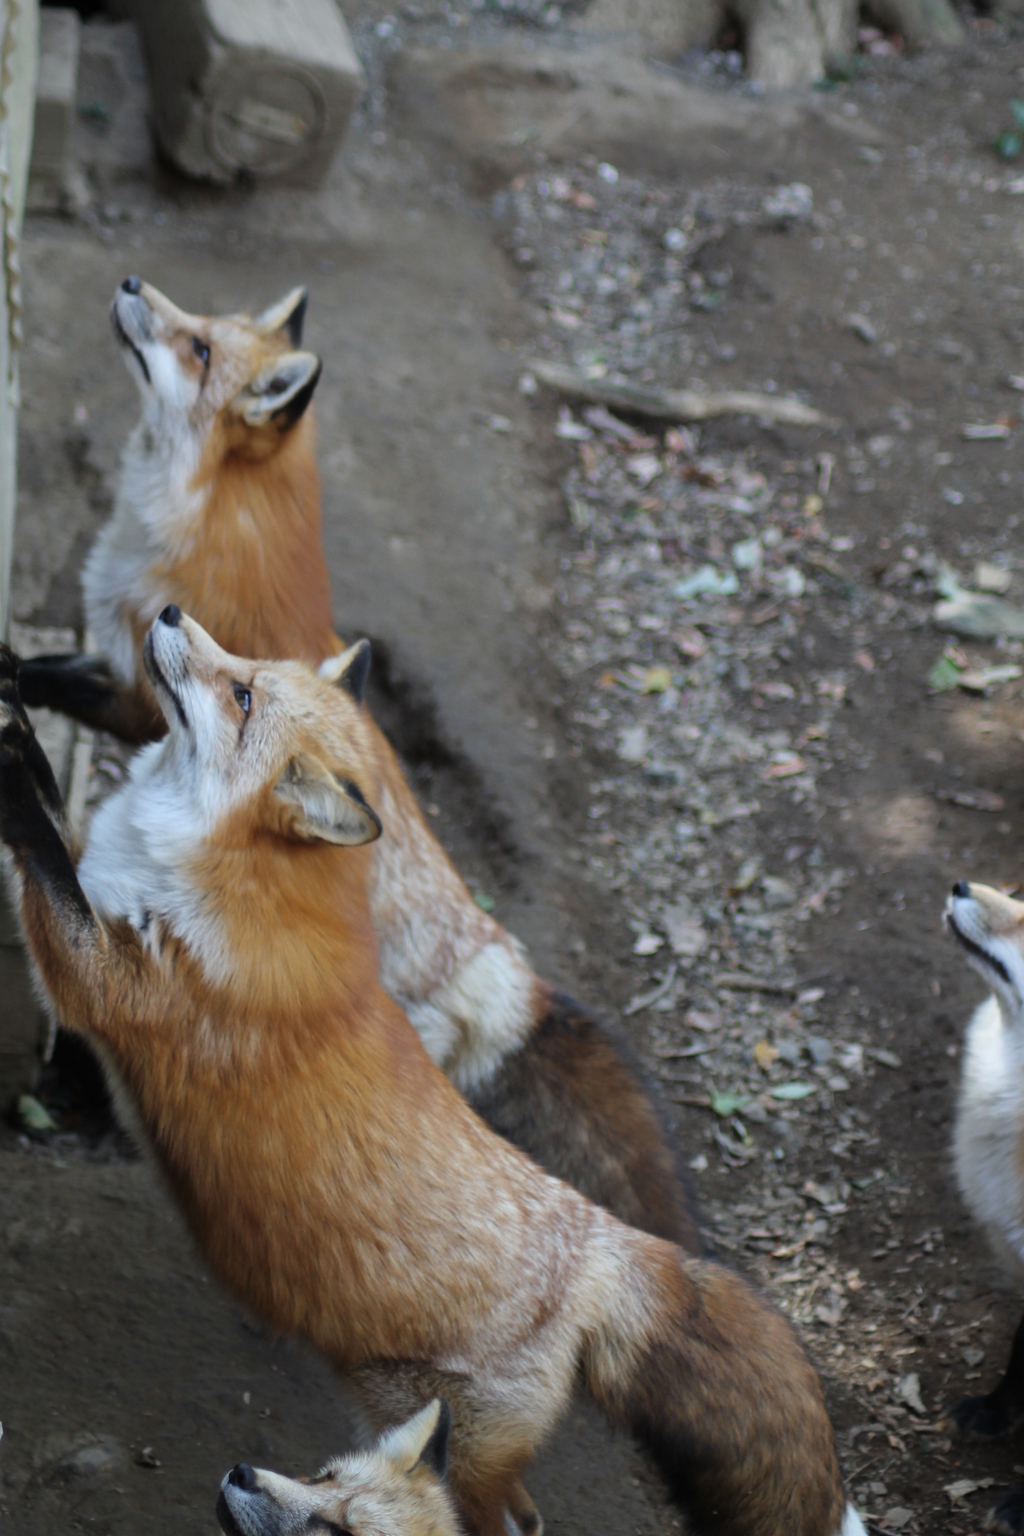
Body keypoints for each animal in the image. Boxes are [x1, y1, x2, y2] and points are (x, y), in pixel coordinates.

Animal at [18, 276, 698, 1250]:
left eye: (200, 349)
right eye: (203, 323)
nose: (132, 284)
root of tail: (507, 973)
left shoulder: (138, 695)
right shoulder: (117, 661)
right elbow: (38, 668)